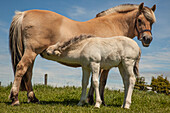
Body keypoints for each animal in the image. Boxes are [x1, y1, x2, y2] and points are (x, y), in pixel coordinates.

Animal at [8, 2, 155, 105]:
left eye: (152, 22)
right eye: (140, 20)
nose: (147, 39)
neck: (113, 24)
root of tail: (24, 14)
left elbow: (92, 81)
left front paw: (90, 100)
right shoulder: (105, 65)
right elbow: (101, 81)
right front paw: (99, 101)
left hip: (32, 53)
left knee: (28, 73)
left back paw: (33, 98)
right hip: (31, 52)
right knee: (21, 68)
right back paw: (15, 98)